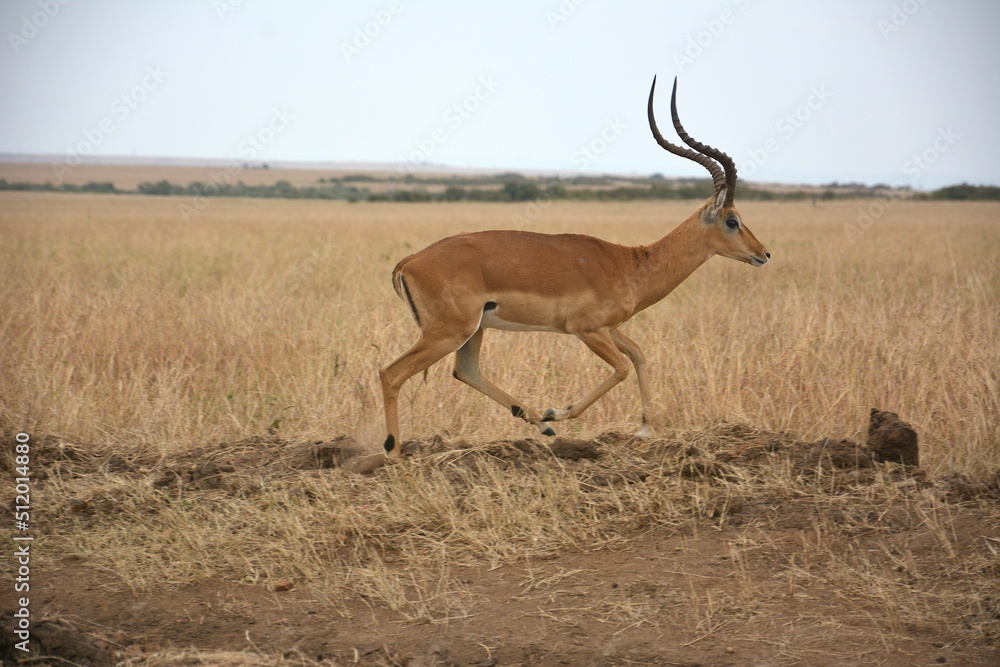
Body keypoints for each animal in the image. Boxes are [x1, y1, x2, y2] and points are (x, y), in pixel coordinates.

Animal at [378, 76, 769, 462]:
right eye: (732, 220)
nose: (763, 254)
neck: (631, 264)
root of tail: (408, 262)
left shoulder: (608, 328)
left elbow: (639, 354)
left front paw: (644, 428)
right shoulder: (586, 329)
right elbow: (622, 366)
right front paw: (558, 412)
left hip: (472, 330)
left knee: (466, 370)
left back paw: (539, 425)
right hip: (447, 332)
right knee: (390, 373)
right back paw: (394, 454)